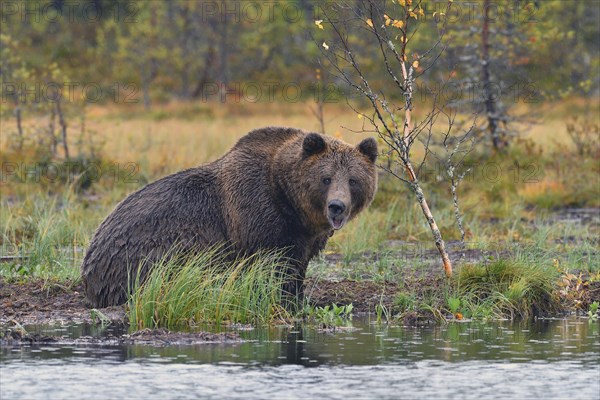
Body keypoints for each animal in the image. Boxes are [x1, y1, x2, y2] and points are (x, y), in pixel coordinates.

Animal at [82, 126, 378, 308]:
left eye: (353, 180)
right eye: (326, 178)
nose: (337, 206)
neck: (289, 200)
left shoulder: (306, 235)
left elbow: (297, 265)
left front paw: (299, 297)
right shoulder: (257, 215)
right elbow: (273, 265)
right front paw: (282, 298)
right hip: (151, 248)